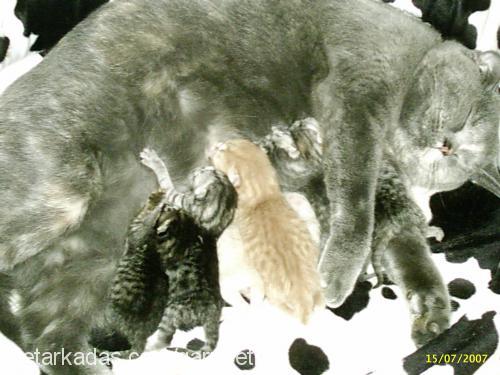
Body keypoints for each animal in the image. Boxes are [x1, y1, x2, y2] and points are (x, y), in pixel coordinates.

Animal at [106, 148, 238, 356]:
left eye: (203, 173)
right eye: (210, 170)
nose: (198, 167)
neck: (214, 222)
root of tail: (212, 312)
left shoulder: (179, 200)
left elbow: (166, 183)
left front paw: (154, 161)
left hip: (171, 313)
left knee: (162, 340)